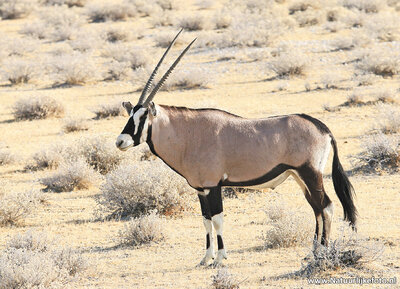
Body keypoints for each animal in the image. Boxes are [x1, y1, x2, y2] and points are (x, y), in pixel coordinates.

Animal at [115, 29, 356, 266]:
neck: (189, 133)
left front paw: (221, 258)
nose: (120, 141)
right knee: (316, 208)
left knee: (326, 206)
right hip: (299, 176)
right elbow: (206, 221)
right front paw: (206, 258)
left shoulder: (213, 186)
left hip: (310, 173)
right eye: (130, 114)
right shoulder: (200, 189)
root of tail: (322, 128)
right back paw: (312, 252)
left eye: (143, 117)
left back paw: (322, 252)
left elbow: (218, 220)